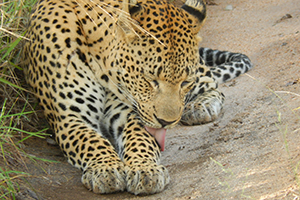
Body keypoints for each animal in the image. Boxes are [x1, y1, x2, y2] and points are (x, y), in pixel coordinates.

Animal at [24, 0, 253, 195]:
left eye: (184, 82)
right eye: (150, 79)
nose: (166, 122)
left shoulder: (127, 113)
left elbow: (141, 138)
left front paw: (146, 169)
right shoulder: (69, 118)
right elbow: (90, 140)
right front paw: (106, 169)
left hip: (201, 77)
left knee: (213, 84)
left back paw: (199, 107)